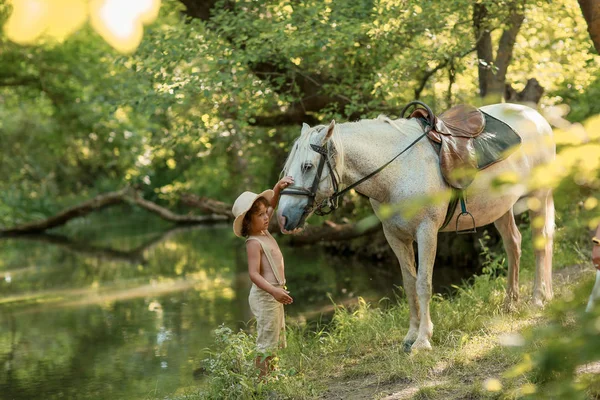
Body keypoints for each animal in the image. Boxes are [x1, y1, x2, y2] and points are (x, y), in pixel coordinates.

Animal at [278, 102, 556, 350]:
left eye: (307, 166)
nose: (282, 218)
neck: (397, 170)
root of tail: (536, 117)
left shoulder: (426, 232)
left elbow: (423, 284)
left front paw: (423, 340)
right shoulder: (395, 236)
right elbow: (409, 284)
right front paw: (411, 336)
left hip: (538, 196)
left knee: (540, 242)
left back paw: (538, 299)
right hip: (501, 207)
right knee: (513, 244)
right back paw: (511, 303)